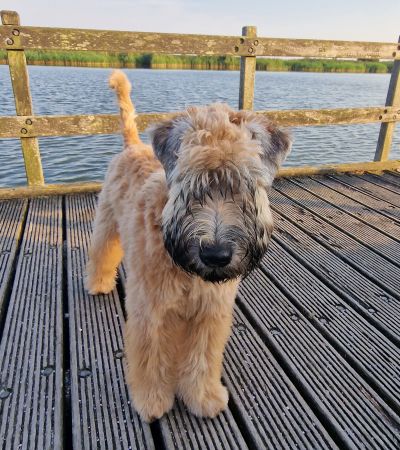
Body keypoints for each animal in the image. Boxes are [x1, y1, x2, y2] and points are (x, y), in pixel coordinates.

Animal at [85, 70, 290, 422]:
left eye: (245, 184)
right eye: (191, 181)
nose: (216, 255)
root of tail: (134, 145)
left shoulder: (211, 311)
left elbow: (202, 358)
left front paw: (203, 397)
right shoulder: (150, 310)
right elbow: (150, 358)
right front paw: (151, 400)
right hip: (107, 222)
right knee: (102, 251)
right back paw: (98, 283)